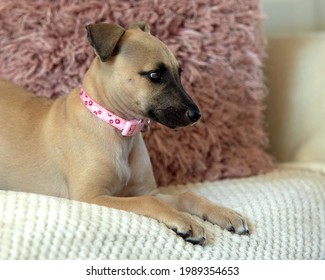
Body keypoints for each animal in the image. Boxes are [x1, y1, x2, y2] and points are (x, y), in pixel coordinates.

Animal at [0, 22, 248, 245]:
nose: (196, 114)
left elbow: (187, 195)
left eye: (180, 73)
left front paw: (225, 214)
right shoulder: (92, 197)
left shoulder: (148, 190)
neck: (116, 127)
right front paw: (185, 221)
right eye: (155, 75)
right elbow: (149, 202)